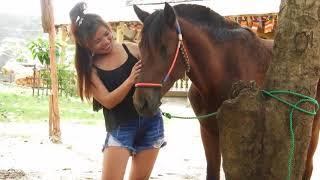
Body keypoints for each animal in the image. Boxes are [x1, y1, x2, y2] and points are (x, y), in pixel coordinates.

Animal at [132, 2, 320, 180]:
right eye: (140, 46)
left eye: (164, 48)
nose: (141, 102)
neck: (222, 71)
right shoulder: (208, 131)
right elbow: (212, 172)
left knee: (307, 167)